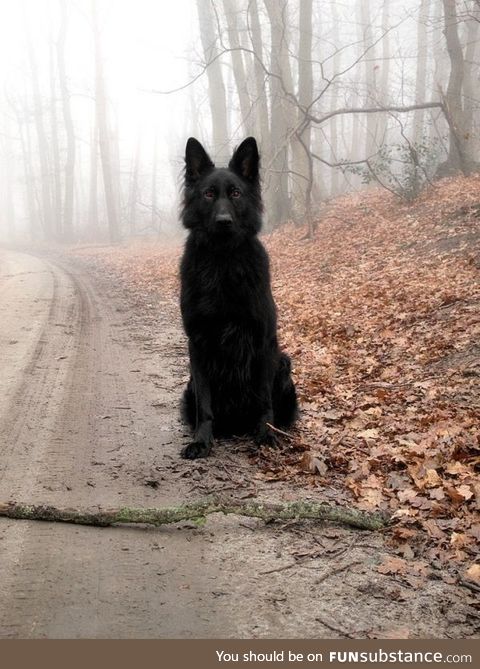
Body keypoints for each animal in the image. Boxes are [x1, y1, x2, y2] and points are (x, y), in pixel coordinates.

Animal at [179, 138, 296, 456]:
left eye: (235, 193)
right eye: (208, 194)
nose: (223, 221)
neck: (223, 260)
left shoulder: (263, 341)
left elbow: (264, 399)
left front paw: (266, 434)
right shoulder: (198, 344)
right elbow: (205, 404)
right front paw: (202, 440)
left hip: (283, 363)